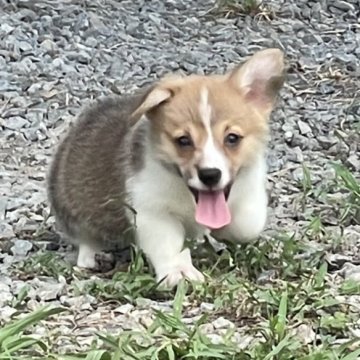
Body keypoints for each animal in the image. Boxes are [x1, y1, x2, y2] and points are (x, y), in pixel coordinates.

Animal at [47, 48, 284, 286]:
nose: (210, 175)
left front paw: (222, 231)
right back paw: (93, 255)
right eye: (183, 141)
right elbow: (169, 244)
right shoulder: (153, 211)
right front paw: (178, 271)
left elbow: (247, 226)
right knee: (86, 236)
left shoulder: (248, 190)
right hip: (72, 205)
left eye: (232, 138)